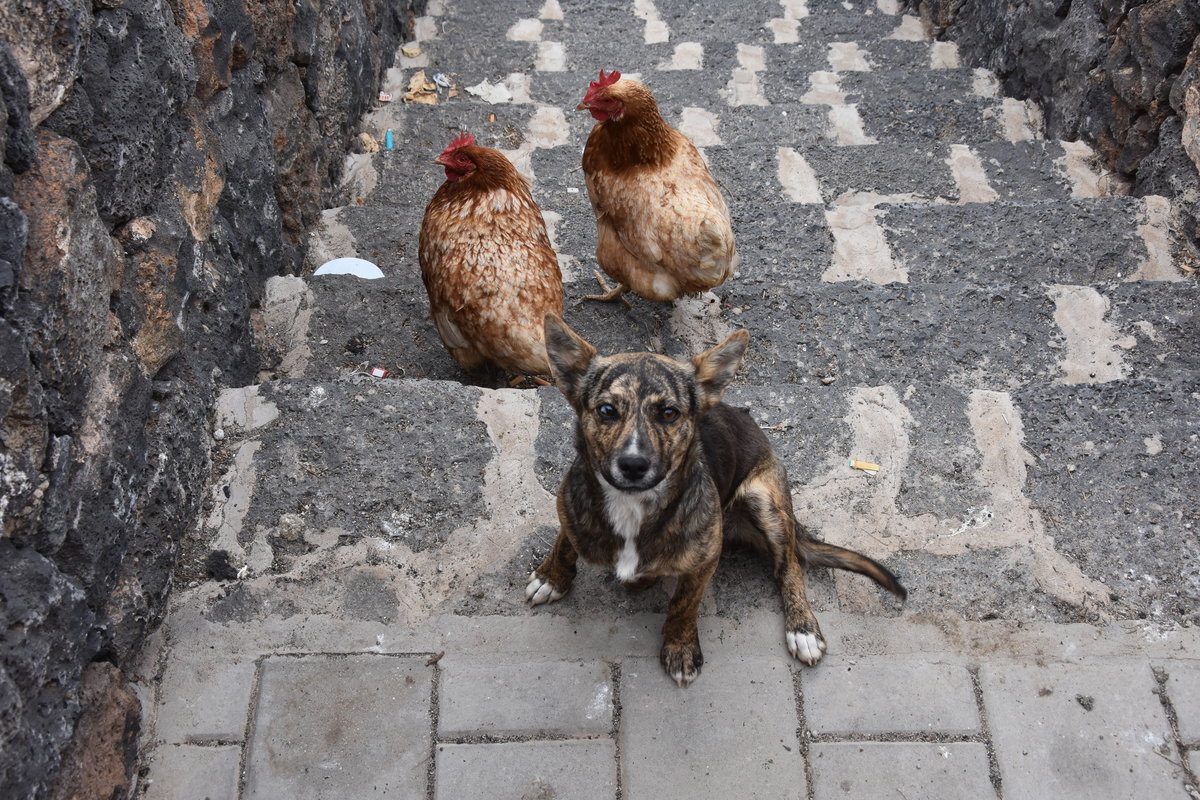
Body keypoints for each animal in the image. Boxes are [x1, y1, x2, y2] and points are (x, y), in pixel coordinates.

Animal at [528, 311, 907, 681]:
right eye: (607, 410)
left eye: (669, 413)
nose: (633, 464)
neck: (632, 508)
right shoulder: (569, 510)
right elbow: (564, 544)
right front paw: (551, 578)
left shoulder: (705, 560)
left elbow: (684, 604)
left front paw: (680, 648)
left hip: (764, 501)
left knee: (789, 567)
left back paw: (803, 629)